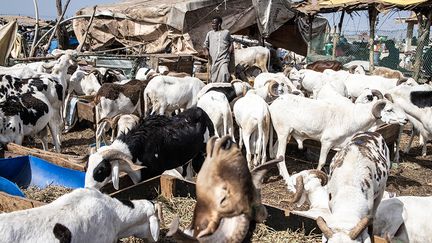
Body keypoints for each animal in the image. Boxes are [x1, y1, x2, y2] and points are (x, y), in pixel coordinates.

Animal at [85, 107, 214, 190]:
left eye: (100, 170)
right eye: (87, 167)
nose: (87, 188)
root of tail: (199, 110)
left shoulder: (152, 174)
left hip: (204, 151)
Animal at [270, 93, 408, 186]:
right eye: (389, 110)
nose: (406, 119)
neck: (353, 117)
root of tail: (274, 104)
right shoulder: (326, 142)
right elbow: (321, 162)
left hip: (285, 135)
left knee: (274, 153)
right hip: (283, 133)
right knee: (280, 155)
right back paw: (288, 180)